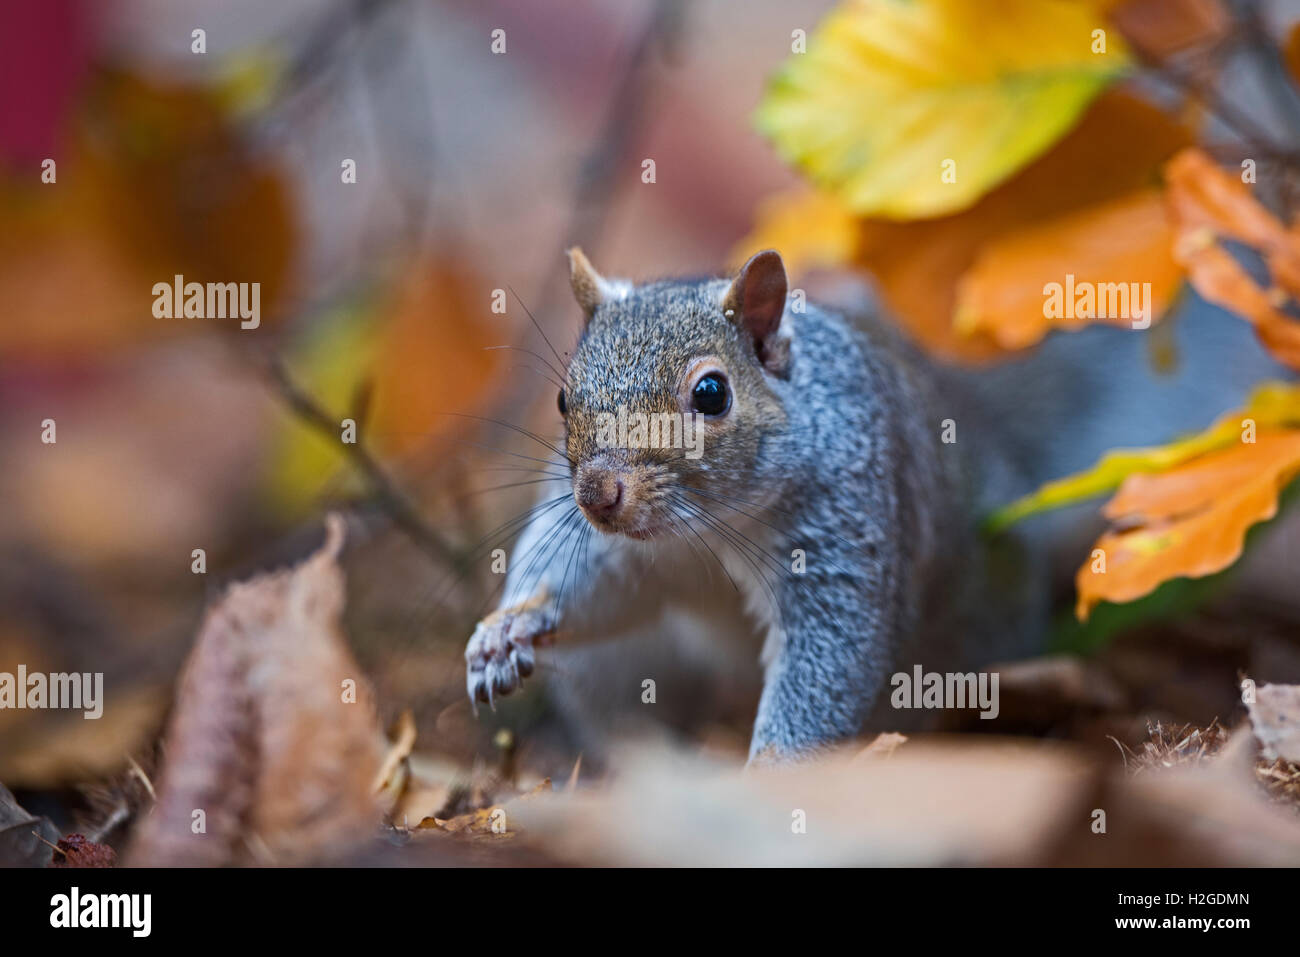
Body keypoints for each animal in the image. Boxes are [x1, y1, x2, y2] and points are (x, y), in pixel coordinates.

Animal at [465, 247, 1289, 764]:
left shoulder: (842, 533)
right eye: (564, 398)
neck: (706, 533)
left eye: (712, 393)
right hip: (617, 673)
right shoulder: (616, 550)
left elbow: (828, 661)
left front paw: (772, 771)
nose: (599, 495)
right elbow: (590, 591)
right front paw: (508, 628)